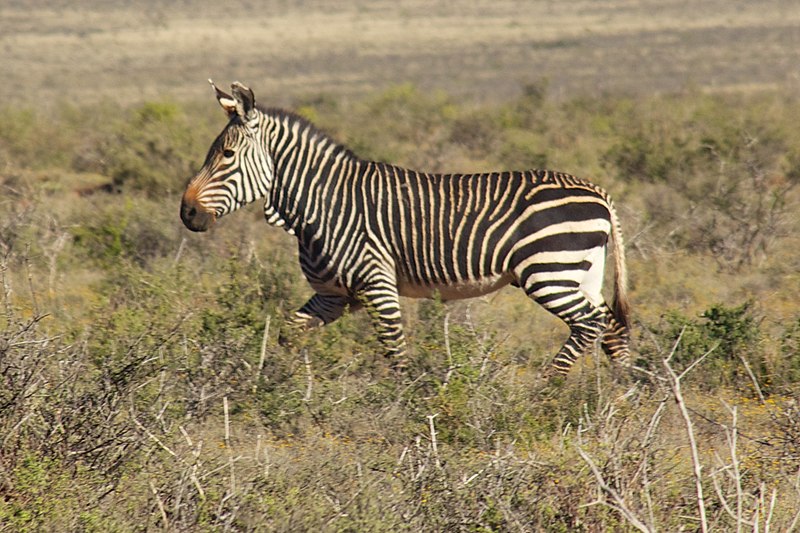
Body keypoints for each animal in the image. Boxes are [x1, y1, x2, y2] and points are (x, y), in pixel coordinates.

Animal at [181, 81, 632, 376]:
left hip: (550, 271)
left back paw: (549, 388)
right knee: (609, 325)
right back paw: (623, 395)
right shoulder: (333, 296)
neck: (323, 205)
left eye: (226, 155)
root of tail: (597, 191)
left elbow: (394, 353)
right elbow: (287, 335)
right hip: (582, 273)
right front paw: (276, 379)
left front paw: (404, 408)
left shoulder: (377, 283)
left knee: (589, 324)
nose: (187, 213)